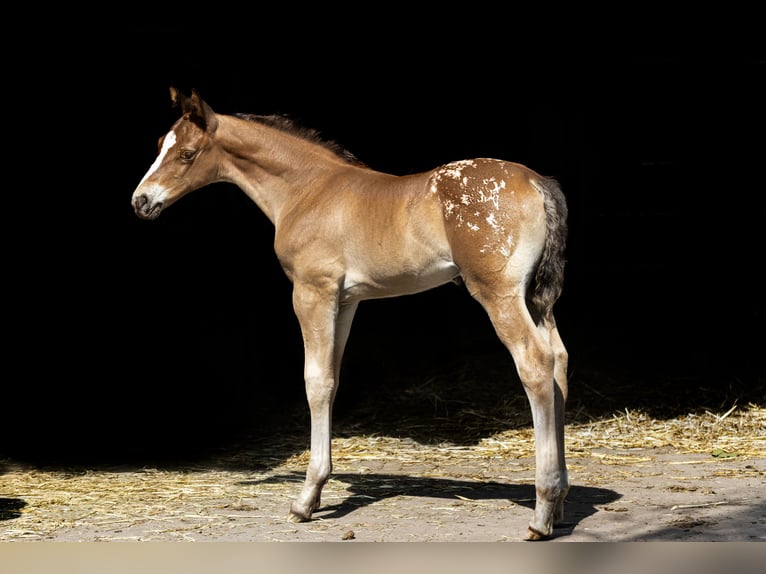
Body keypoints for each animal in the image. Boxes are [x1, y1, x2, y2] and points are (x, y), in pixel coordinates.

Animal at [132, 87, 570, 540]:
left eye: (187, 153)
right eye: (160, 145)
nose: (141, 201)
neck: (308, 190)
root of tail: (536, 182)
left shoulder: (312, 292)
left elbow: (315, 382)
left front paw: (306, 499)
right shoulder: (347, 300)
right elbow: (332, 379)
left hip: (498, 294)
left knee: (535, 364)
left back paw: (541, 512)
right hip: (536, 300)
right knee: (559, 362)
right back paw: (560, 504)